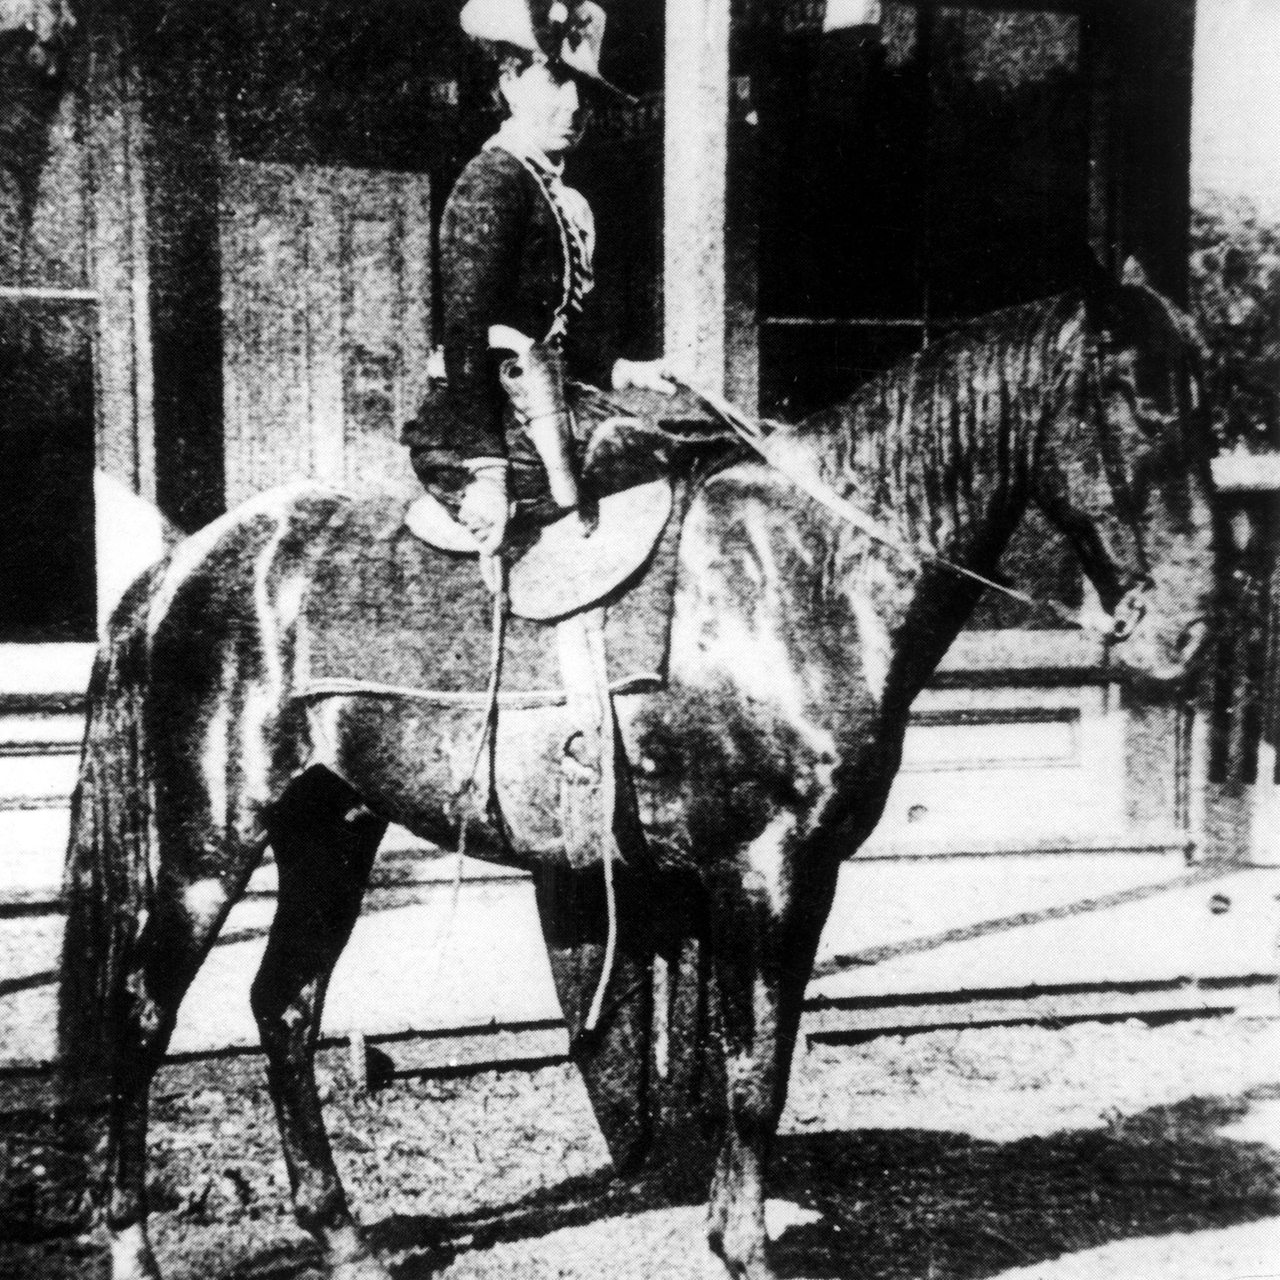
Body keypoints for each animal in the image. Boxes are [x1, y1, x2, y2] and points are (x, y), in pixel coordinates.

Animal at [57, 267, 1208, 1280]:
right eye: (1143, 404)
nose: (1193, 627)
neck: (808, 572)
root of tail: (179, 568)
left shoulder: (805, 878)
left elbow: (760, 1059)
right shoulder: (761, 869)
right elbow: (749, 1070)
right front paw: (741, 1248)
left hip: (328, 832)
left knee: (285, 1007)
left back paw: (344, 1238)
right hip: (208, 849)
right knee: (141, 1016)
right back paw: (132, 1246)